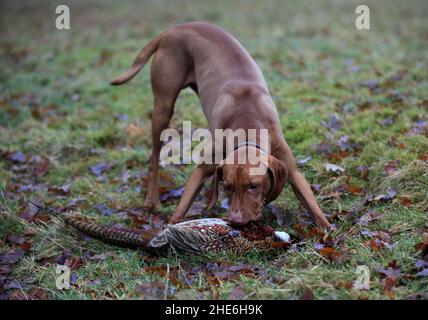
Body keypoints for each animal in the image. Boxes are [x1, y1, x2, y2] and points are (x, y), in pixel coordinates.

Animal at [111, 21, 332, 229]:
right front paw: (169, 227)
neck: (248, 124)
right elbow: (183, 205)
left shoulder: (292, 171)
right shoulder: (201, 170)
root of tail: (174, 29)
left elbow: (313, 206)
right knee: (154, 157)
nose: (235, 220)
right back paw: (152, 200)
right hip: (163, 106)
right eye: (227, 186)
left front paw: (328, 230)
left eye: (253, 186)